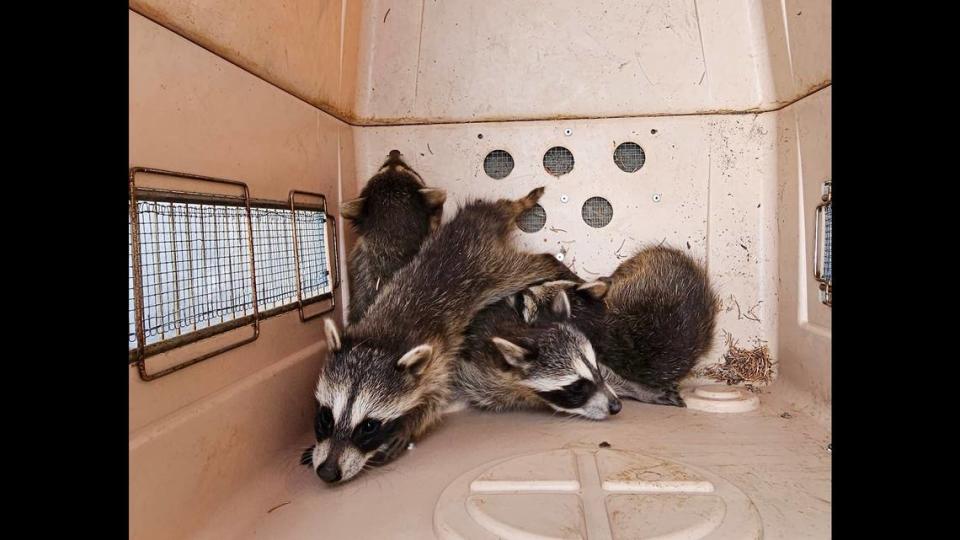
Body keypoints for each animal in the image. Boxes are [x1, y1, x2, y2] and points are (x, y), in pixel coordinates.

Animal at [304, 188, 568, 484]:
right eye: (326, 417)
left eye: (368, 426)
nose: (327, 472)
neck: (382, 341)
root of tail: (474, 227)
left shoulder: (438, 360)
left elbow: (436, 400)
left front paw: (410, 425)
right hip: (481, 225)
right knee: (497, 208)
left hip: (497, 271)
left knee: (536, 262)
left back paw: (557, 265)